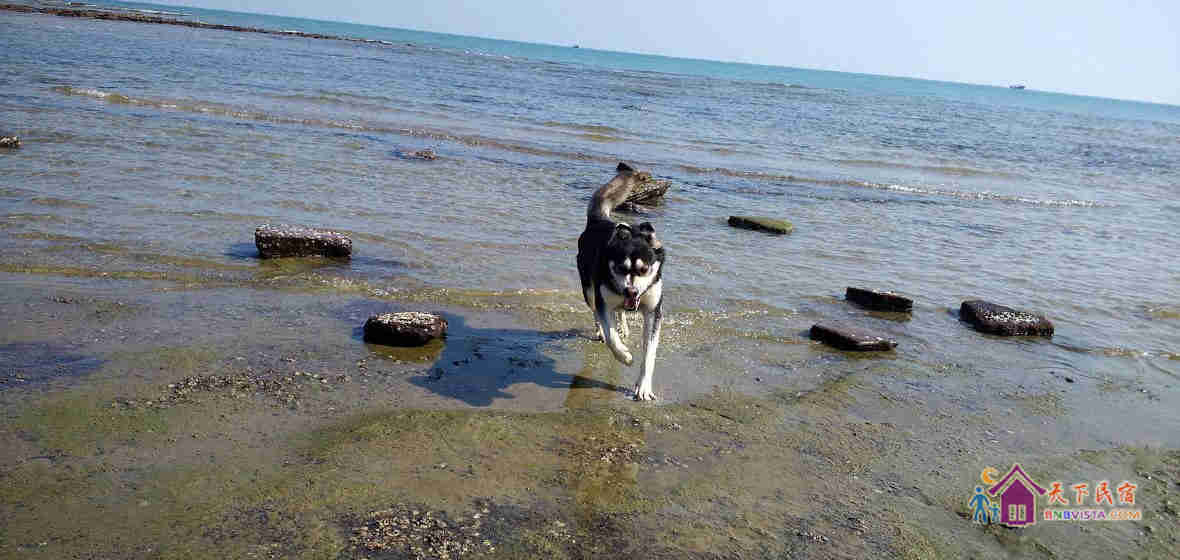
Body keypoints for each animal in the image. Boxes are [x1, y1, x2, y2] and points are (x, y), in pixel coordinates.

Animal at [577, 162, 665, 401]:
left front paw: (643, 387)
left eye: (644, 270)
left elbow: (649, 354)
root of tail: (599, 221)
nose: (631, 292)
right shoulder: (604, 301)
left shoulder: (653, 311)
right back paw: (602, 330)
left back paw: (624, 325)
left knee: (620, 313)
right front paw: (624, 355)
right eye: (619, 268)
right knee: (597, 313)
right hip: (589, 290)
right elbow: (611, 337)